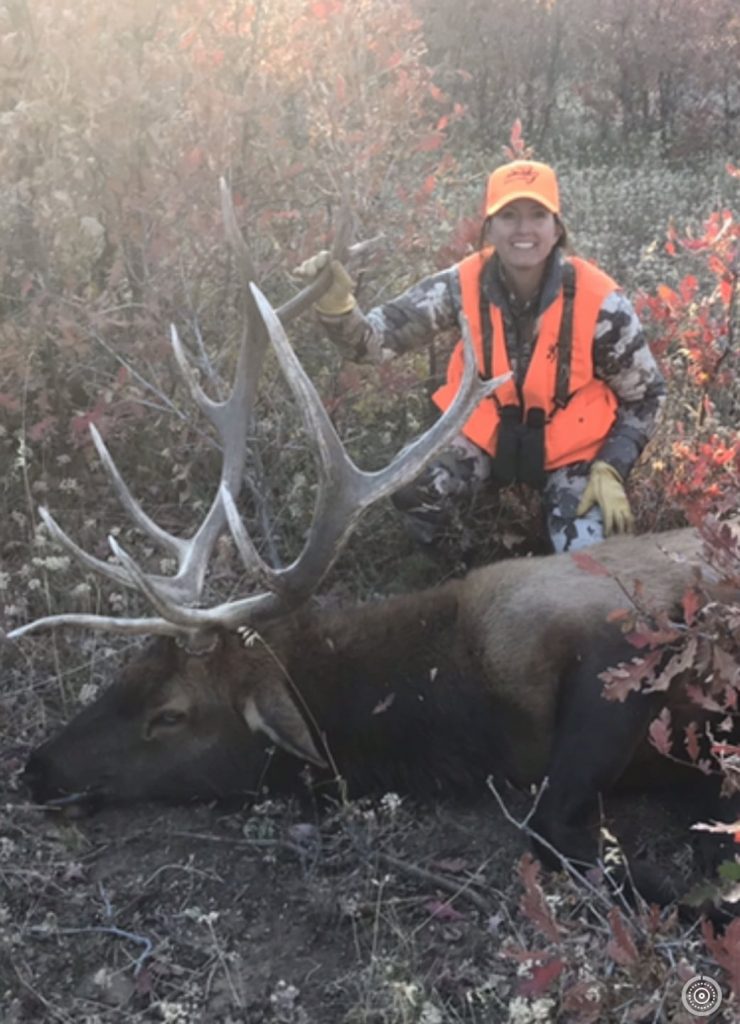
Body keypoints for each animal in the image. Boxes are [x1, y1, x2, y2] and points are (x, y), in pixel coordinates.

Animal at [5, 183, 739, 915]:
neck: (459, 707)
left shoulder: (624, 641)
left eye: (171, 715)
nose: (36, 769)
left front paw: (694, 891)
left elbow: (552, 825)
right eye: (127, 670)